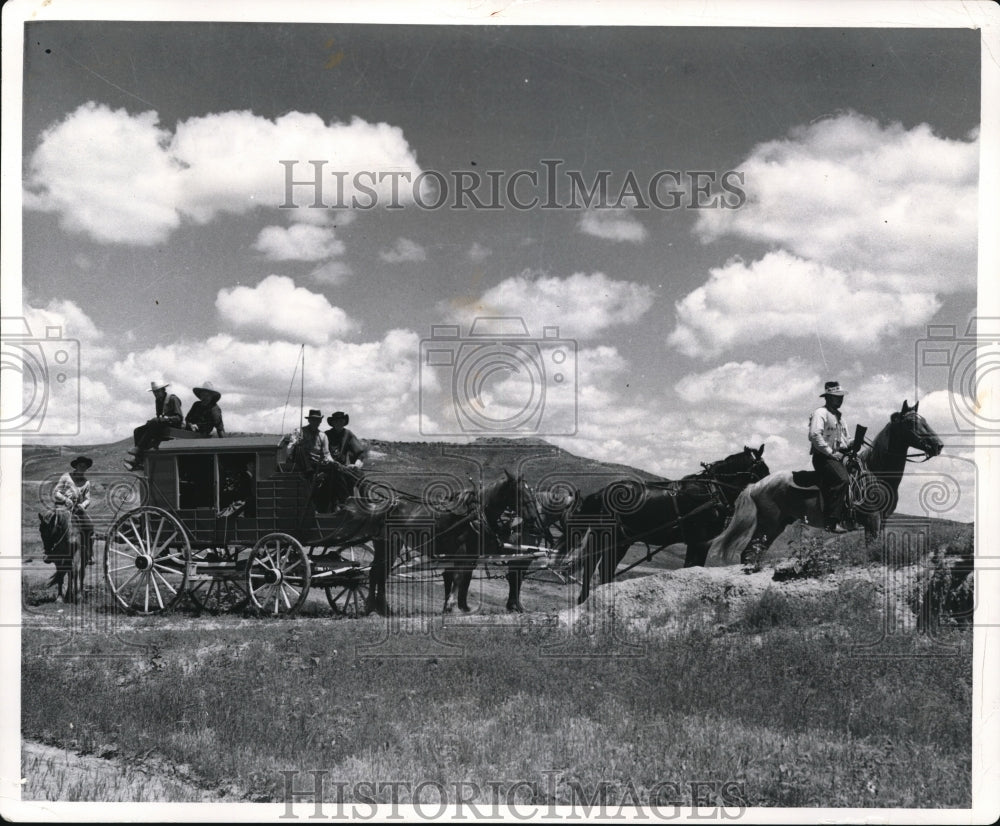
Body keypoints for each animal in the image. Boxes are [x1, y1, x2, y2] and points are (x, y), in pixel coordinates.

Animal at [560, 448, 768, 600]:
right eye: (762, 470)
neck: (711, 490)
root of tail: (599, 494)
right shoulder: (700, 541)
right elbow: (692, 568)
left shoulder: (698, 542)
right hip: (608, 538)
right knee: (594, 567)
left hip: (620, 541)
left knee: (601, 568)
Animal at [708, 398, 940, 560]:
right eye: (910, 422)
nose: (938, 445)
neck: (876, 473)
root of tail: (755, 485)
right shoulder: (872, 520)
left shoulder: (881, 521)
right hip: (768, 524)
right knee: (748, 553)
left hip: (775, 526)